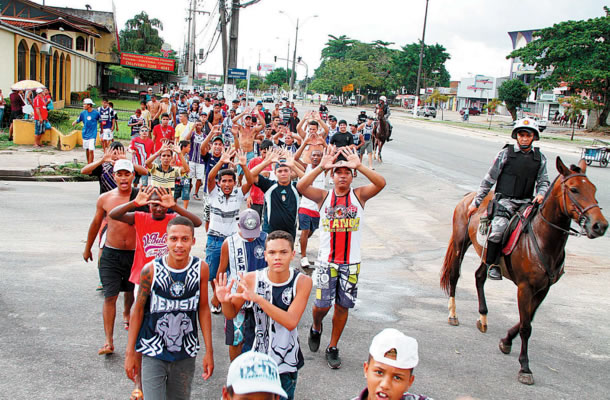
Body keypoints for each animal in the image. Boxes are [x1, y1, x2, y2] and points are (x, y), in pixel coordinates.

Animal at [440, 156, 604, 384]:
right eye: (574, 189)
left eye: (594, 189)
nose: (600, 225)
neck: (544, 238)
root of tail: (470, 196)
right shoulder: (525, 287)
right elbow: (526, 326)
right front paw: (525, 367)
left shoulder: (543, 289)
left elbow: (527, 319)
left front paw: (506, 340)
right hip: (460, 244)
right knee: (455, 275)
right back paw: (453, 314)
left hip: (487, 254)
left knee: (479, 276)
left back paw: (483, 317)